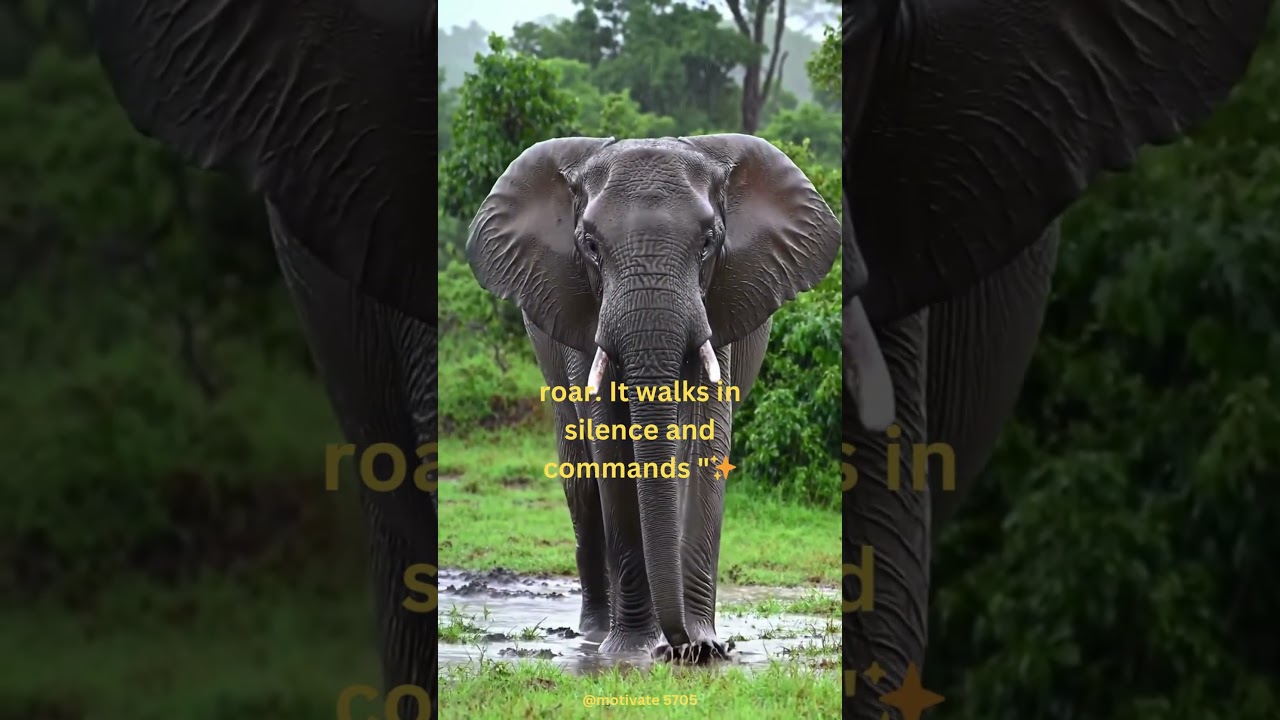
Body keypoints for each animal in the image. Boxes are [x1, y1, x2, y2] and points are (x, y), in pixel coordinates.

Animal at [465, 134, 841, 661]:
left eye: (708, 242)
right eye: (590, 245)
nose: (676, 644)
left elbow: (704, 444)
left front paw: (703, 648)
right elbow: (610, 444)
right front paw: (630, 651)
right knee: (581, 484)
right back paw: (594, 635)